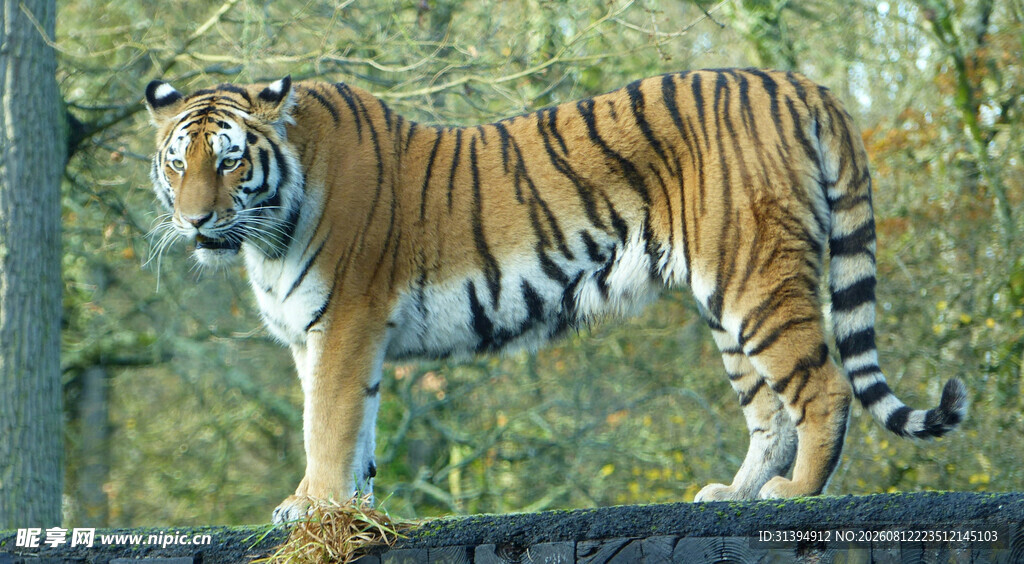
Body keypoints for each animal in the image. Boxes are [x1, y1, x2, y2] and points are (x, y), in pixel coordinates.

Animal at [143, 68, 967, 524]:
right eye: (178, 162)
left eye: (230, 161)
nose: (194, 220)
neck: (267, 230)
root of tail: (798, 82)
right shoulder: (328, 338)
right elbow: (358, 433)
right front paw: (350, 509)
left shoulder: (344, 325)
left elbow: (330, 424)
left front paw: (310, 505)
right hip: (727, 300)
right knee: (769, 411)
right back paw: (730, 495)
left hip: (756, 278)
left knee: (822, 387)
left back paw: (794, 496)